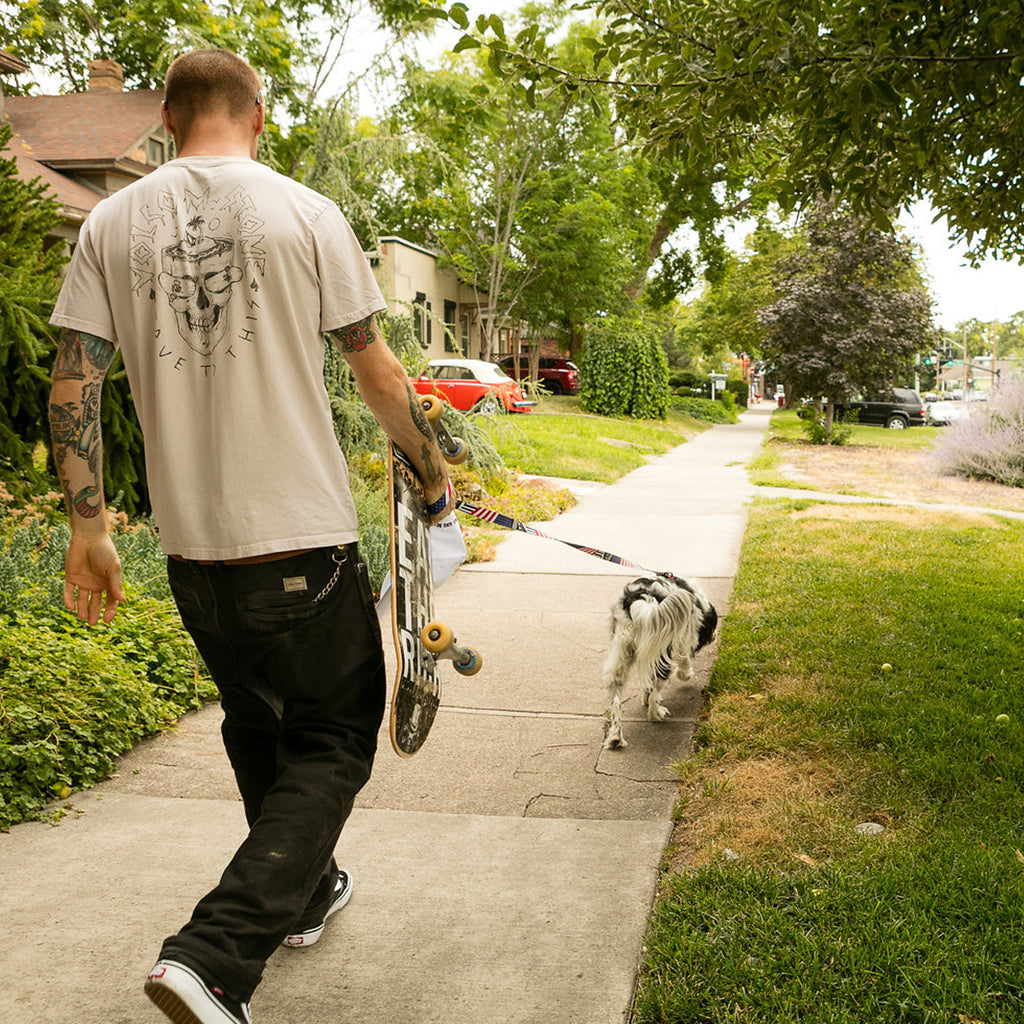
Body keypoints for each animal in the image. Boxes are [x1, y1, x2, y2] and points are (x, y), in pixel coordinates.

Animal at [602, 573, 716, 749]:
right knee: (657, 685)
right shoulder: (685, 638)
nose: (715, 635)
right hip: (662, 653)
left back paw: (615, 737)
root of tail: (642, 598)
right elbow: (684, 662)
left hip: (620, 653)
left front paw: (644, 697)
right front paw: (685, 674)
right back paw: (655, 713)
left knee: (615, 699)